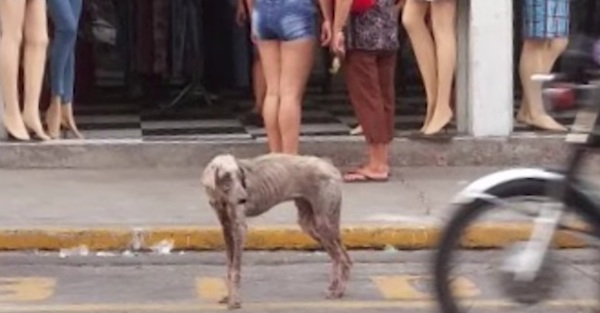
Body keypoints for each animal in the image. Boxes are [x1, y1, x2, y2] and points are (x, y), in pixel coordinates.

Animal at [202, 152, 352, 308]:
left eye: (240, 175)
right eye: (226, 176)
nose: (243, 199)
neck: (222, 195)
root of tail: (330, 167)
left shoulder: (239, 228)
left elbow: (235, 269)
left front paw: (235, 301)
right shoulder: (226, 227)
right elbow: (229, 266)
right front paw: (229, 297)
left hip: (324, 223)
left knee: (343, 259)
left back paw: (339, 291)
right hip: (311, 225)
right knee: (338, 256)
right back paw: (333, 287)